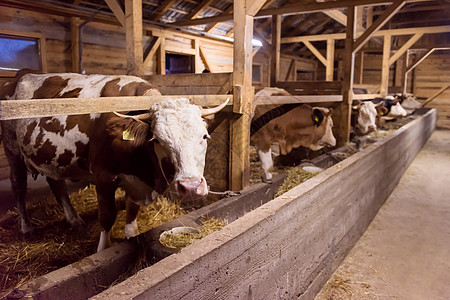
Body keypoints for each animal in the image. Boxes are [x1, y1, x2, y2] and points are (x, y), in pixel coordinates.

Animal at [0, 71, 227, 252]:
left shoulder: (135, 182)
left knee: (56, 184)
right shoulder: (103, 175)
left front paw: (131, 234)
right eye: (157, 140)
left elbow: (132, 210)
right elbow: (107, 216)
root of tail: (19, 76)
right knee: (18, 186)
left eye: (204, 136)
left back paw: (74, 219)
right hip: (12, 150)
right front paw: (103, 249)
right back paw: (26, 227)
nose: (190, 186)